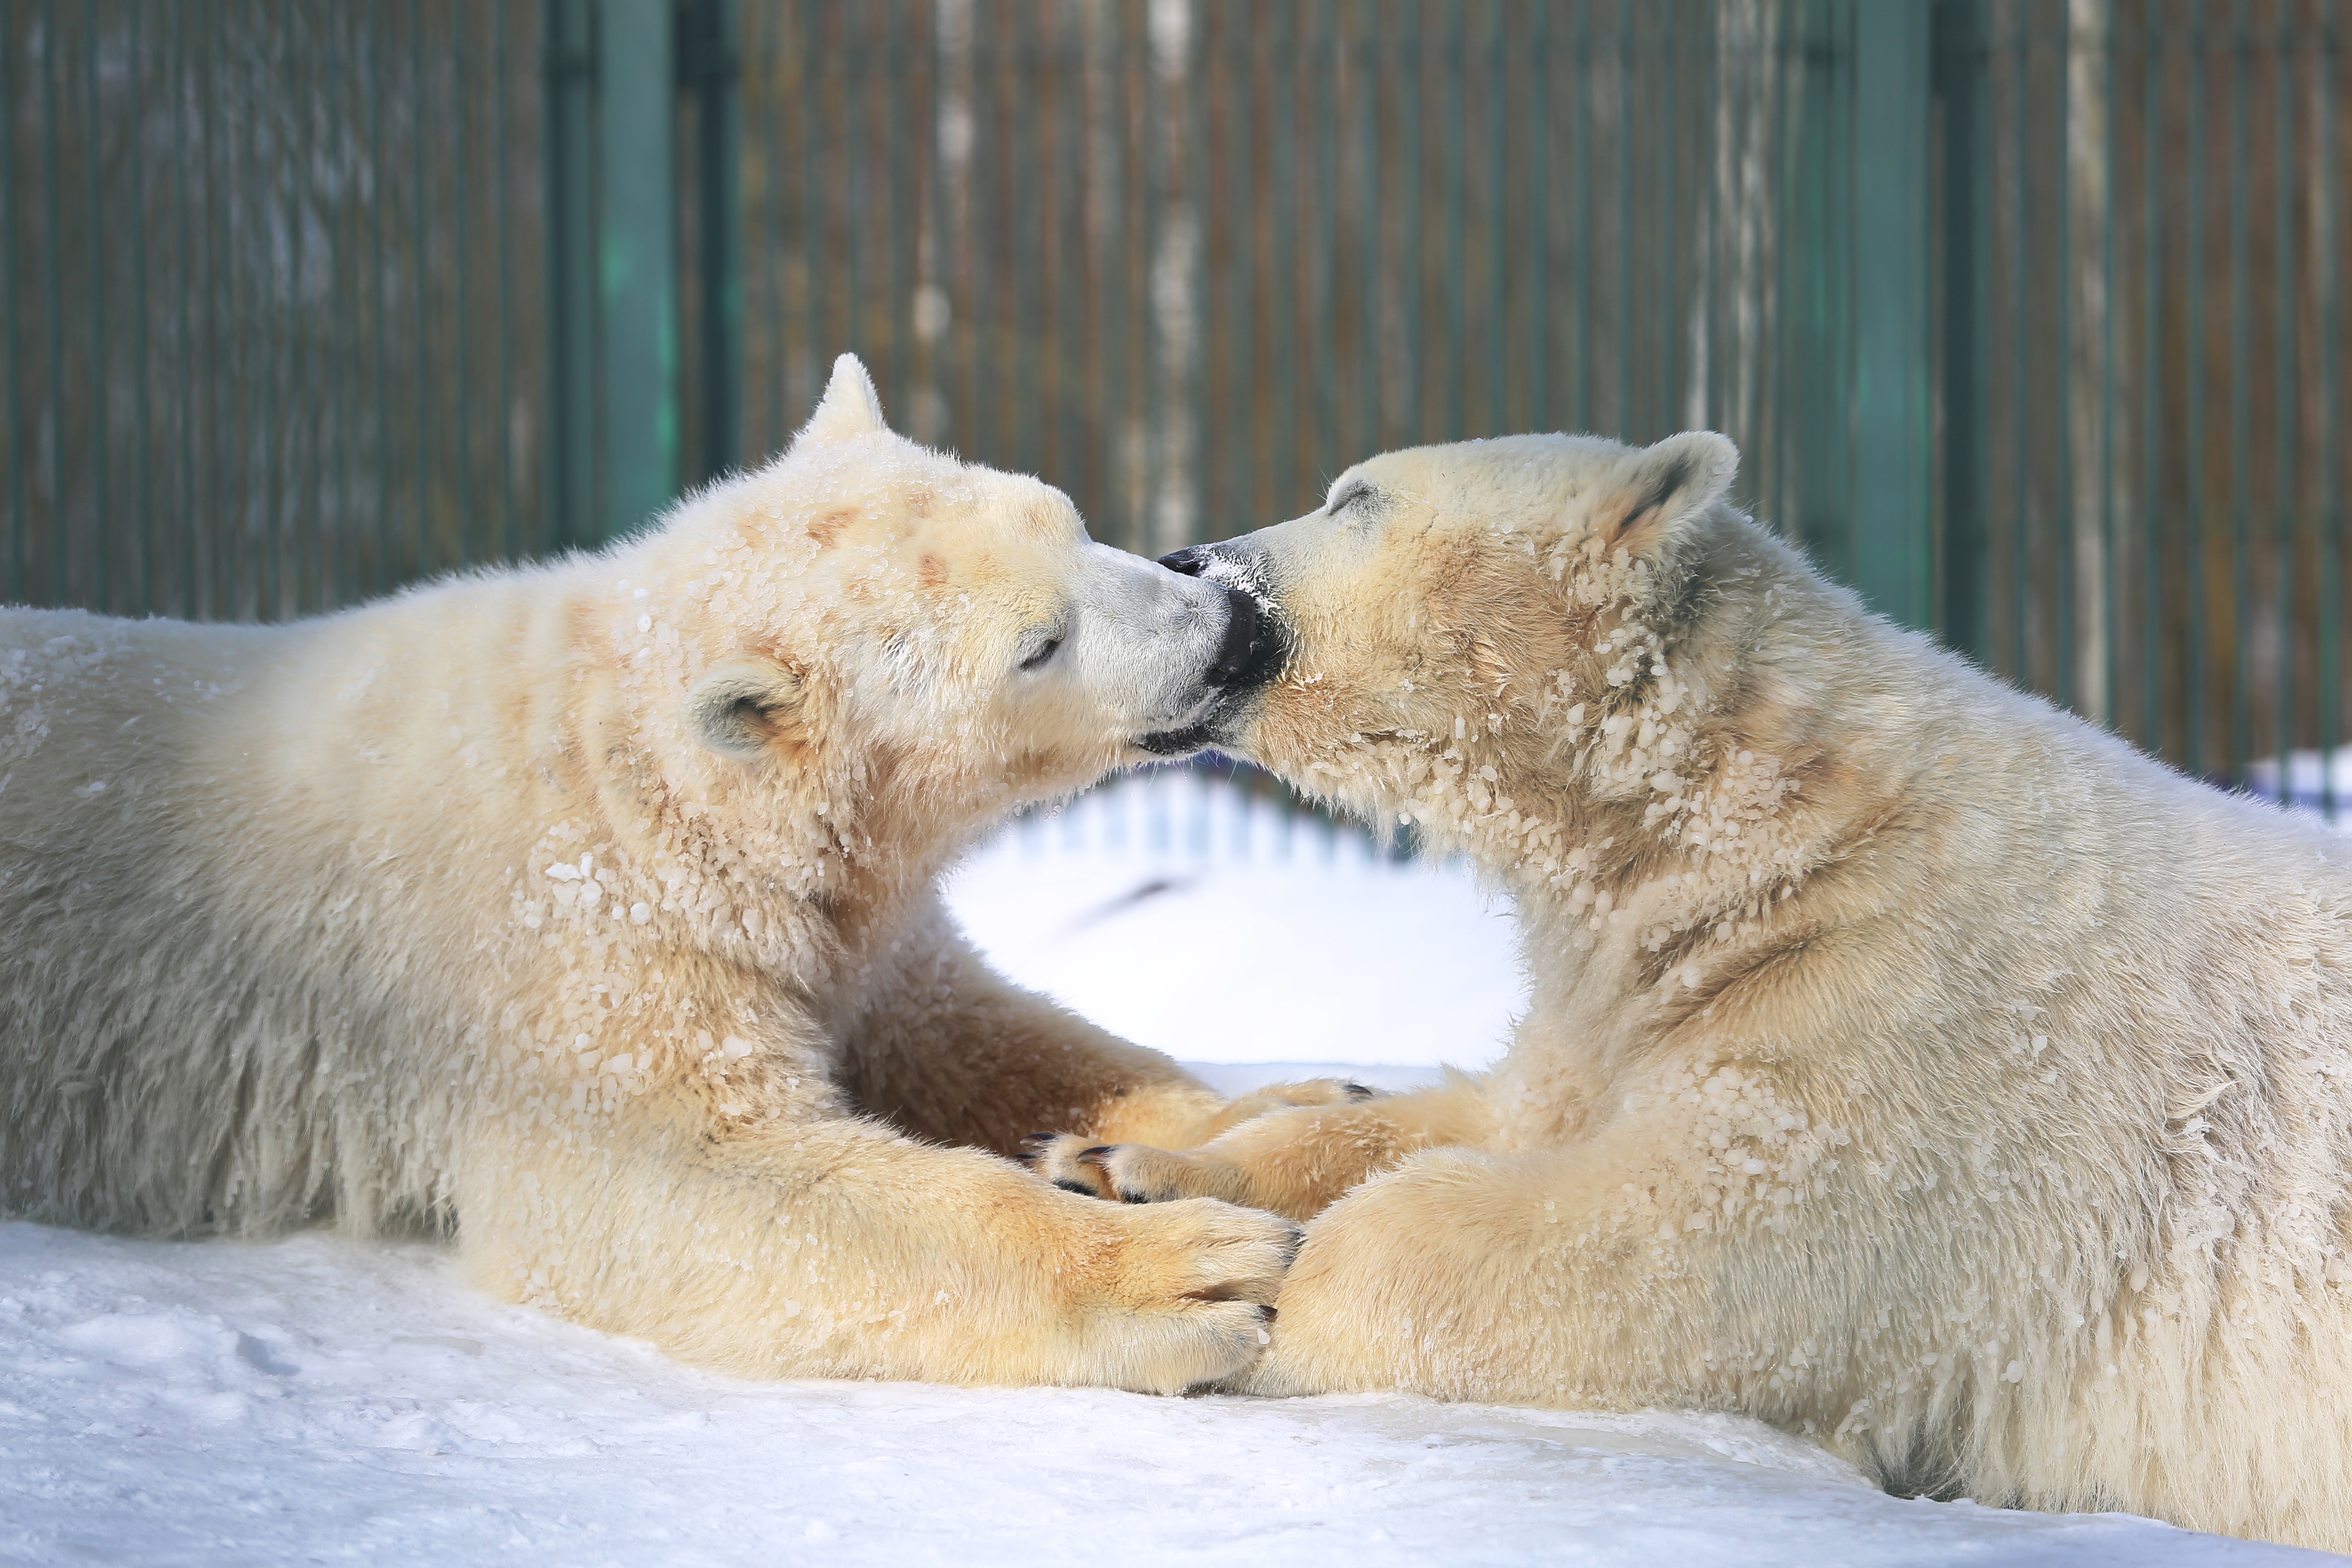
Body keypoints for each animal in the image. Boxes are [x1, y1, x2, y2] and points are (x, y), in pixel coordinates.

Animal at [0, 359, 1307, 1401]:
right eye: (1038, 645)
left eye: (1070, 517)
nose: (1234, 630)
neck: (640, 767)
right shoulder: (569, 954)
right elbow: (681, 1177)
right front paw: (1195, 1273)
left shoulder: (845, 923)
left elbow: (966, 1029)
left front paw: (1241, 1125)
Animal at [1039, 432, 2352, 1561]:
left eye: (1354, 498)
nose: (1191, 562)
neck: (1775, 833)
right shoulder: (1628, 989)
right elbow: (1495, 1111)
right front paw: (1126, 1167)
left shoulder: (1919, 1049)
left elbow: (1668, 1241)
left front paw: (1246, 1297)